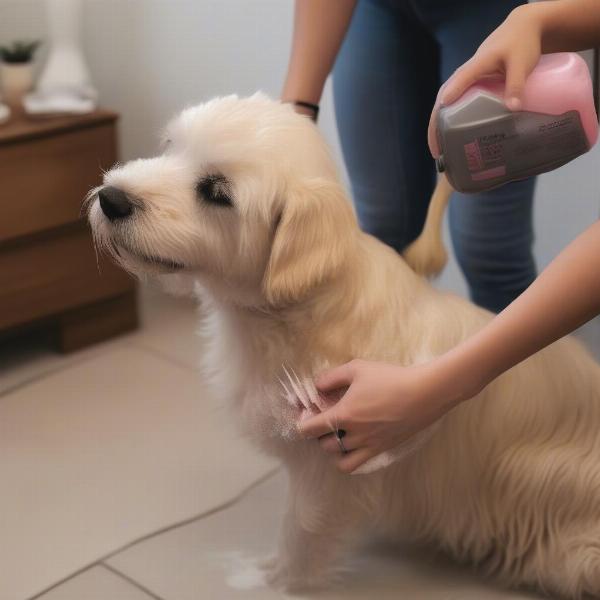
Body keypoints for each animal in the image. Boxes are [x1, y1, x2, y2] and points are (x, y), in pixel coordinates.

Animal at [88, 95, 600, 600]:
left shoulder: (328, 469)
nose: (111, 199)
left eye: (217, 191)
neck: (297, 312)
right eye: (170, 147)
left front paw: (279, 583)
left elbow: (299, 533)